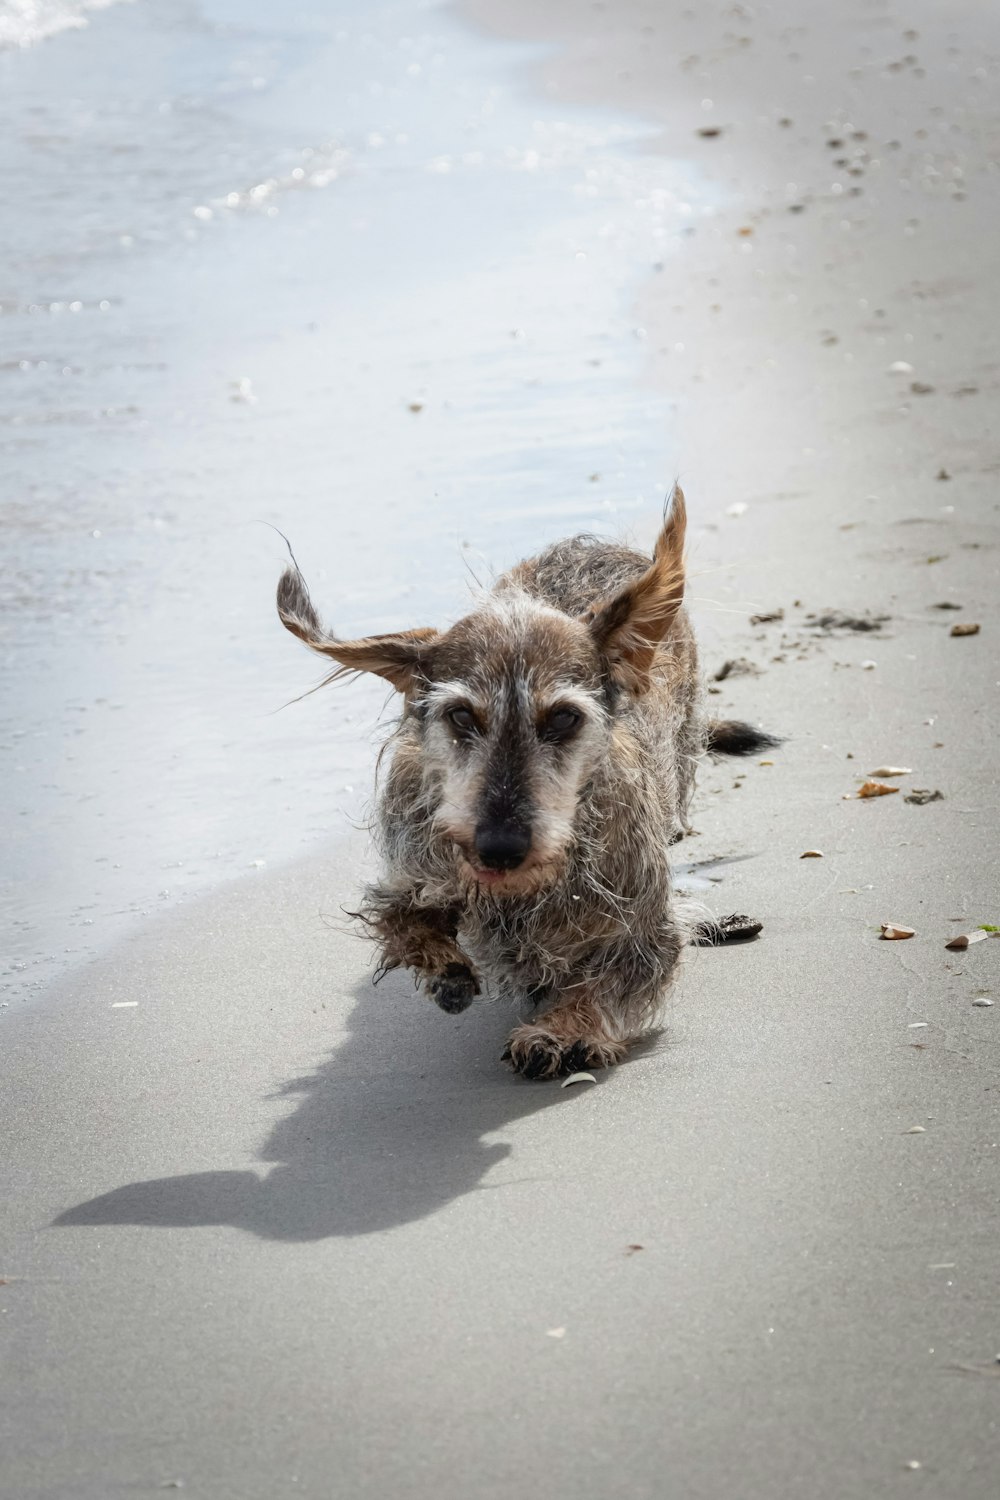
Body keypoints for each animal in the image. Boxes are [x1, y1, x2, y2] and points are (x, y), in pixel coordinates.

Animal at [277, 489, 779, 1080]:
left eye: (563, 718)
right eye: (461, 715)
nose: (499, 848)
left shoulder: (644, 924)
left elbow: (619, 973)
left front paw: (564, 1029)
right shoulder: (415, 868)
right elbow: (402, 916)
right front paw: (445, 967)